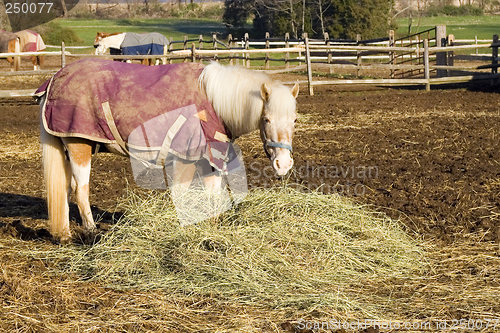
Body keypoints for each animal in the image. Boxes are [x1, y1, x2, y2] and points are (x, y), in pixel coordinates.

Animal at [39, 59, 298, 241]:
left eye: (295, 120)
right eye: (266, 119)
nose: (283, 165)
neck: (213, 101)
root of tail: (54, 79)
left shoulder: (208, 158)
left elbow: (212, 196)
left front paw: (211, 230)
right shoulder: (186, 157)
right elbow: (181, 194)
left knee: (64, 189)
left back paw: (64, 234)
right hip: (78, 146)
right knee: (80, 190)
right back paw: (92, 233)